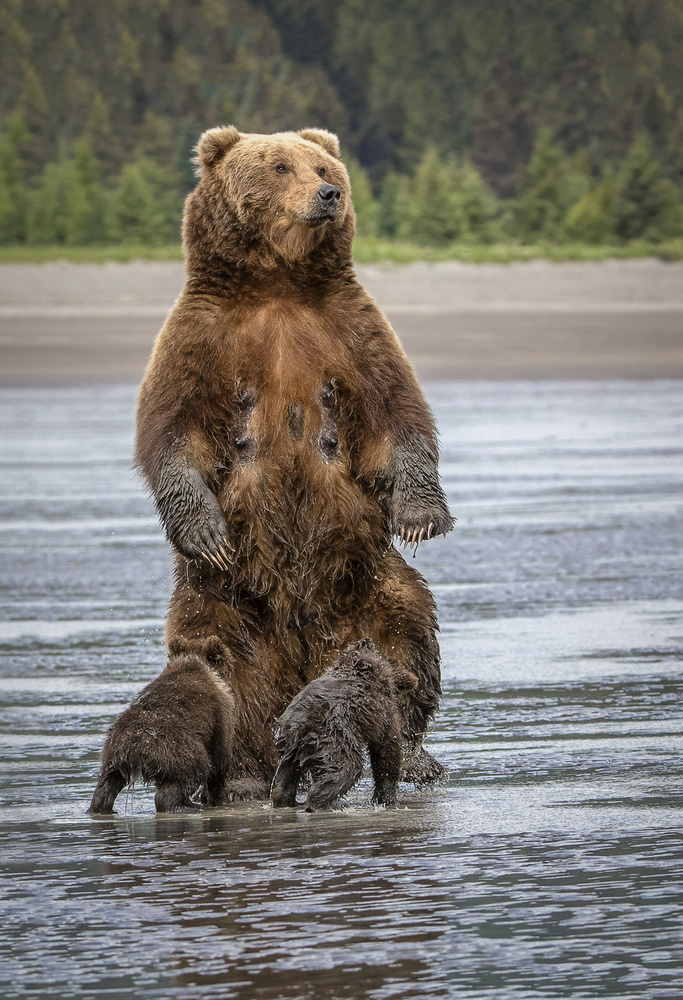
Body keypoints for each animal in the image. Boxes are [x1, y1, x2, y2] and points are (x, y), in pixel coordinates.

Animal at [89, 125, 454, 812]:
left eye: (324, 166)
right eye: (281, 166)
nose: (329, 194)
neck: (278, 284)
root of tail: (304, 659)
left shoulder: (349, 330)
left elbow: (397, 415)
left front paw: (421, 517)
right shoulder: (201, 338)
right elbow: (172, 433)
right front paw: (204, 529)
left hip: (368, 581)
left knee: (409, 637)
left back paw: (416, 756)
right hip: (222, 599)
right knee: (226, 668)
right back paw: (242, 775)